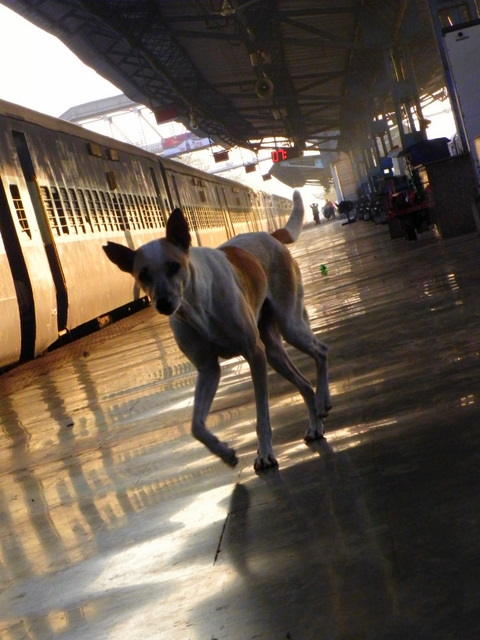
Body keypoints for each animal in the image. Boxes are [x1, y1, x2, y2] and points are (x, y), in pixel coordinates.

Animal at [103, 191, 332, 470]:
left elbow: (262, 416)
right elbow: (196, 427)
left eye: (173, 266)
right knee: (304, 384)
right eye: (142, 275)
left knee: (321, 351)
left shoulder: (254, 354)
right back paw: (315, 425)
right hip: (273, 351)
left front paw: (265, 453)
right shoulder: (208, 369)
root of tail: (270, 235)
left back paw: (324, 401)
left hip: (290, 326)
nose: (163, 303)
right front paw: (225, 452)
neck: (196, 305)